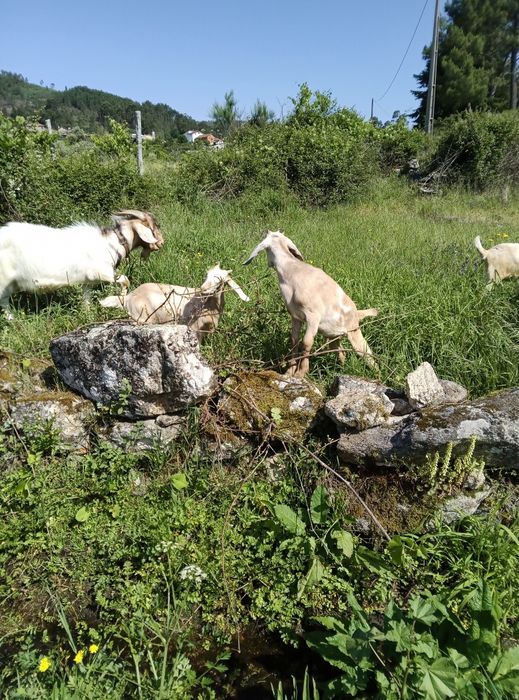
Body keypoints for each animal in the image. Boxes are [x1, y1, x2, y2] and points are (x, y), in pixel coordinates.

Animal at [0, 209, 164, 319]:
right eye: (153, 227)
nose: (161, 243)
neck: (112, 243)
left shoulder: (87, 282)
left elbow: (86, 300)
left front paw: (88, 314)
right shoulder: (102, 272)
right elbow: (125, 280)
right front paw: (122, 299)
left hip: (11, 284)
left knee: (4, 301)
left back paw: (12, 319)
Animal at [99, 263, 250, 340]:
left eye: (218, 278)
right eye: (206, 276)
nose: (203, 289)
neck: (209, 305)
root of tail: (128, 297)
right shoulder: (194, 329)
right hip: (143, 318)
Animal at [243, 230, 378, 377]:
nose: (266, 231)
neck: (292, 271)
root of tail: (357, 313)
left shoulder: (313, 316)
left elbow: (307, 342)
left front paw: (301, 372)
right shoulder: (295, 316)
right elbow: (294, 340)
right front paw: (290, 371)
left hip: (353, 331)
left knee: (366, 353)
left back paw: (377, 374)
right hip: (334, 335)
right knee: (340, 351)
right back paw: (341, 369)